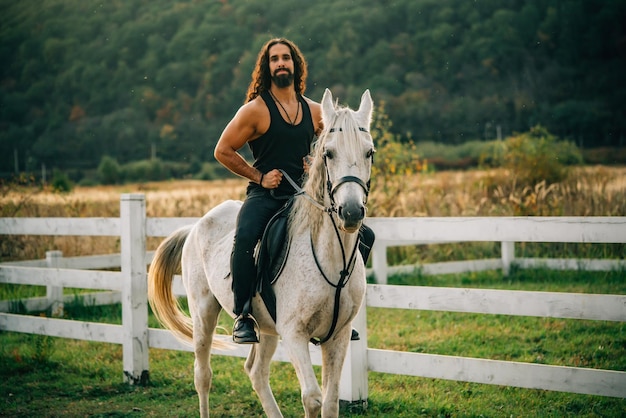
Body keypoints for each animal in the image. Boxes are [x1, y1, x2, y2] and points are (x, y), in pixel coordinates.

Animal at [149, 89, 372, 418]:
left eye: (369, 153)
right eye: (328, 153)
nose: (352, 211)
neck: (331, 260)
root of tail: (195, 226)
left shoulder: (339, 335)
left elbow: (330, 402)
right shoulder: (294, 334)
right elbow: (313, 398)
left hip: (265, 328)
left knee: (255, 371)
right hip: (204, 313)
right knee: (203, 375)